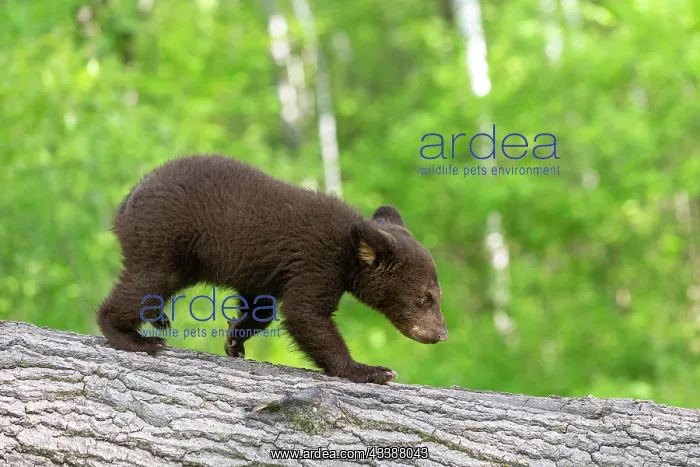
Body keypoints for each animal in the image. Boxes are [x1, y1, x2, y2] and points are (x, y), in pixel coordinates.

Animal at [97, 155, 448, 384]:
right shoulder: (316, 260)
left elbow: (262, 306)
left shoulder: (267, 270)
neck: (349, 250)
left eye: (435, 296)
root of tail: (127, 200)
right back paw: (135, 338)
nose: (441, 334)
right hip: (165, 239)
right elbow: (305, 313)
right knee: (144, 283)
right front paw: (370, 370)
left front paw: (235, 339)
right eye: (425, 298)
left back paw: (157, 317)